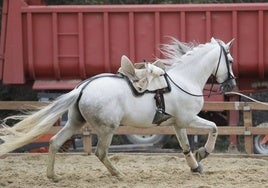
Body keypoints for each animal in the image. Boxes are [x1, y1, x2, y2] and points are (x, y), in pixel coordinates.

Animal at [0, 37, 234, 181]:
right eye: (230, 60)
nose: (231, 84)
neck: (185, 79)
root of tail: (82, 88)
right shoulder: (189, 119)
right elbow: (214, 128)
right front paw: (204, 152)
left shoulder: (178, 124)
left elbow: (185, 146)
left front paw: (195, 166)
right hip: (107, 128)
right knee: (101, 152)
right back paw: (119, 174)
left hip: (75, 122)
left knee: (54, 142)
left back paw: (53, 176)